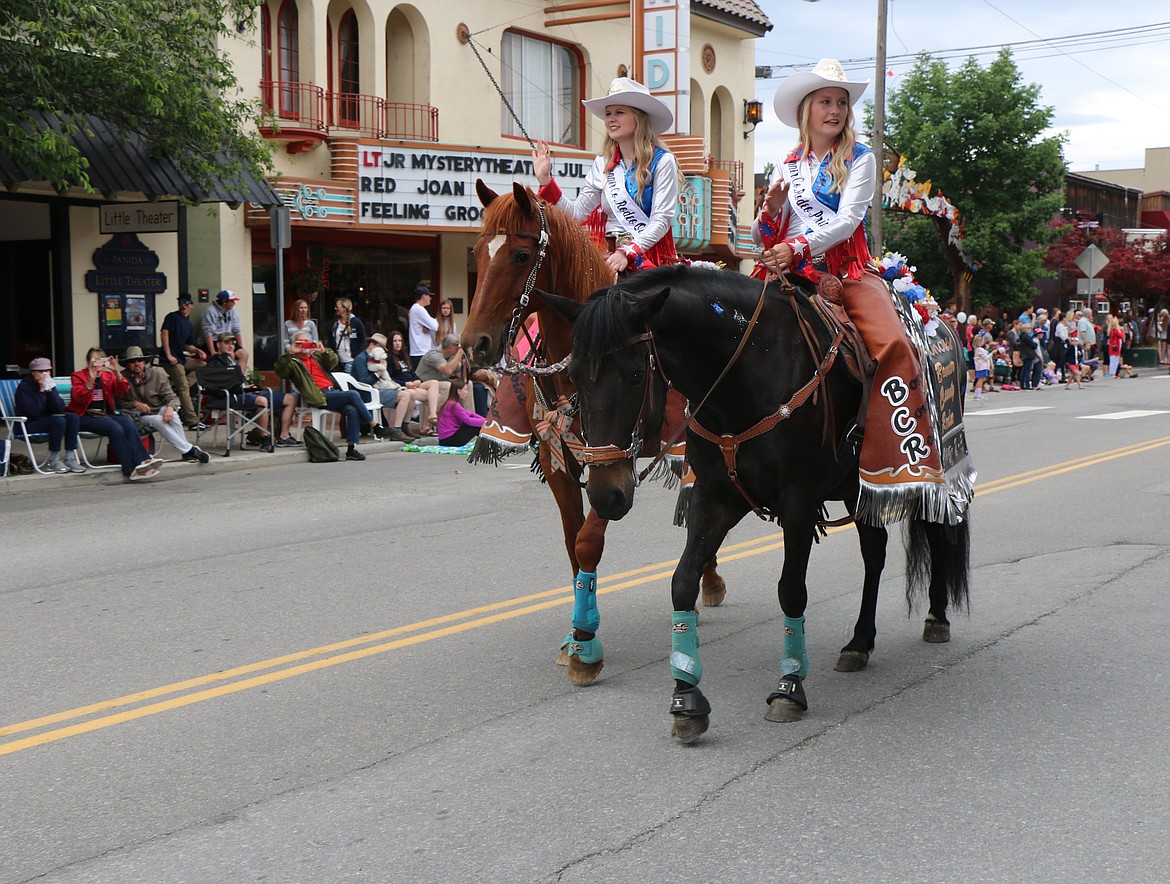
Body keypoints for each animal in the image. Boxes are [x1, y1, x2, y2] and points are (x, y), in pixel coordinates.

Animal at [460, 183, 725, 687]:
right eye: (478, 253)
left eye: (521, 255)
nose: (473, 344)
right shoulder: (559, 460)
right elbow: (572, 544)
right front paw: (574, 635)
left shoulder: (617, 459)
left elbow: (589, 540)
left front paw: (586, 645)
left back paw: (710, 580)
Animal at [542, 265, 973, 743]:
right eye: (575, 376)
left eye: (636, 375)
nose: (605, 494)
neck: (746, 371)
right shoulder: (714, 499)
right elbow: (682, 581)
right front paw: (686, 697)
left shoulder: (798, 504)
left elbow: (791, 591)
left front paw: (790, 686)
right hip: (856, 489)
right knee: (874, 555)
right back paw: (860, 642)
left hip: (926, 472)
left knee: (938, 530)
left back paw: (937, 617)